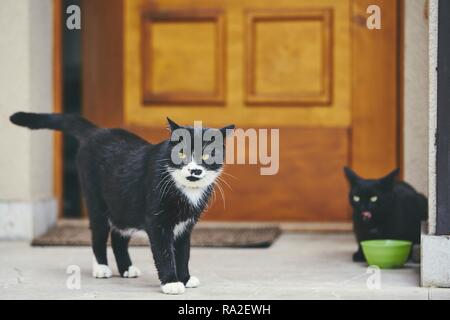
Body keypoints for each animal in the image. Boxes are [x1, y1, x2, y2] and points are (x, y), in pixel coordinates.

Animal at [9, 112, 236, 296]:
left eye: (206, 154)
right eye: (181, 153)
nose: (194, 170)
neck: (186, 191)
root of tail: (96, 132)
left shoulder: (186, 225)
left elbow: (183, 252)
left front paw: (186, 278)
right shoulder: (157, 223)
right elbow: (164, 252)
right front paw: (171, 282)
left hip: (123, 206)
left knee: (118, 236)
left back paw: (127, 268)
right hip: (96, 201)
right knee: (99, 234)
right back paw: (101, 268)